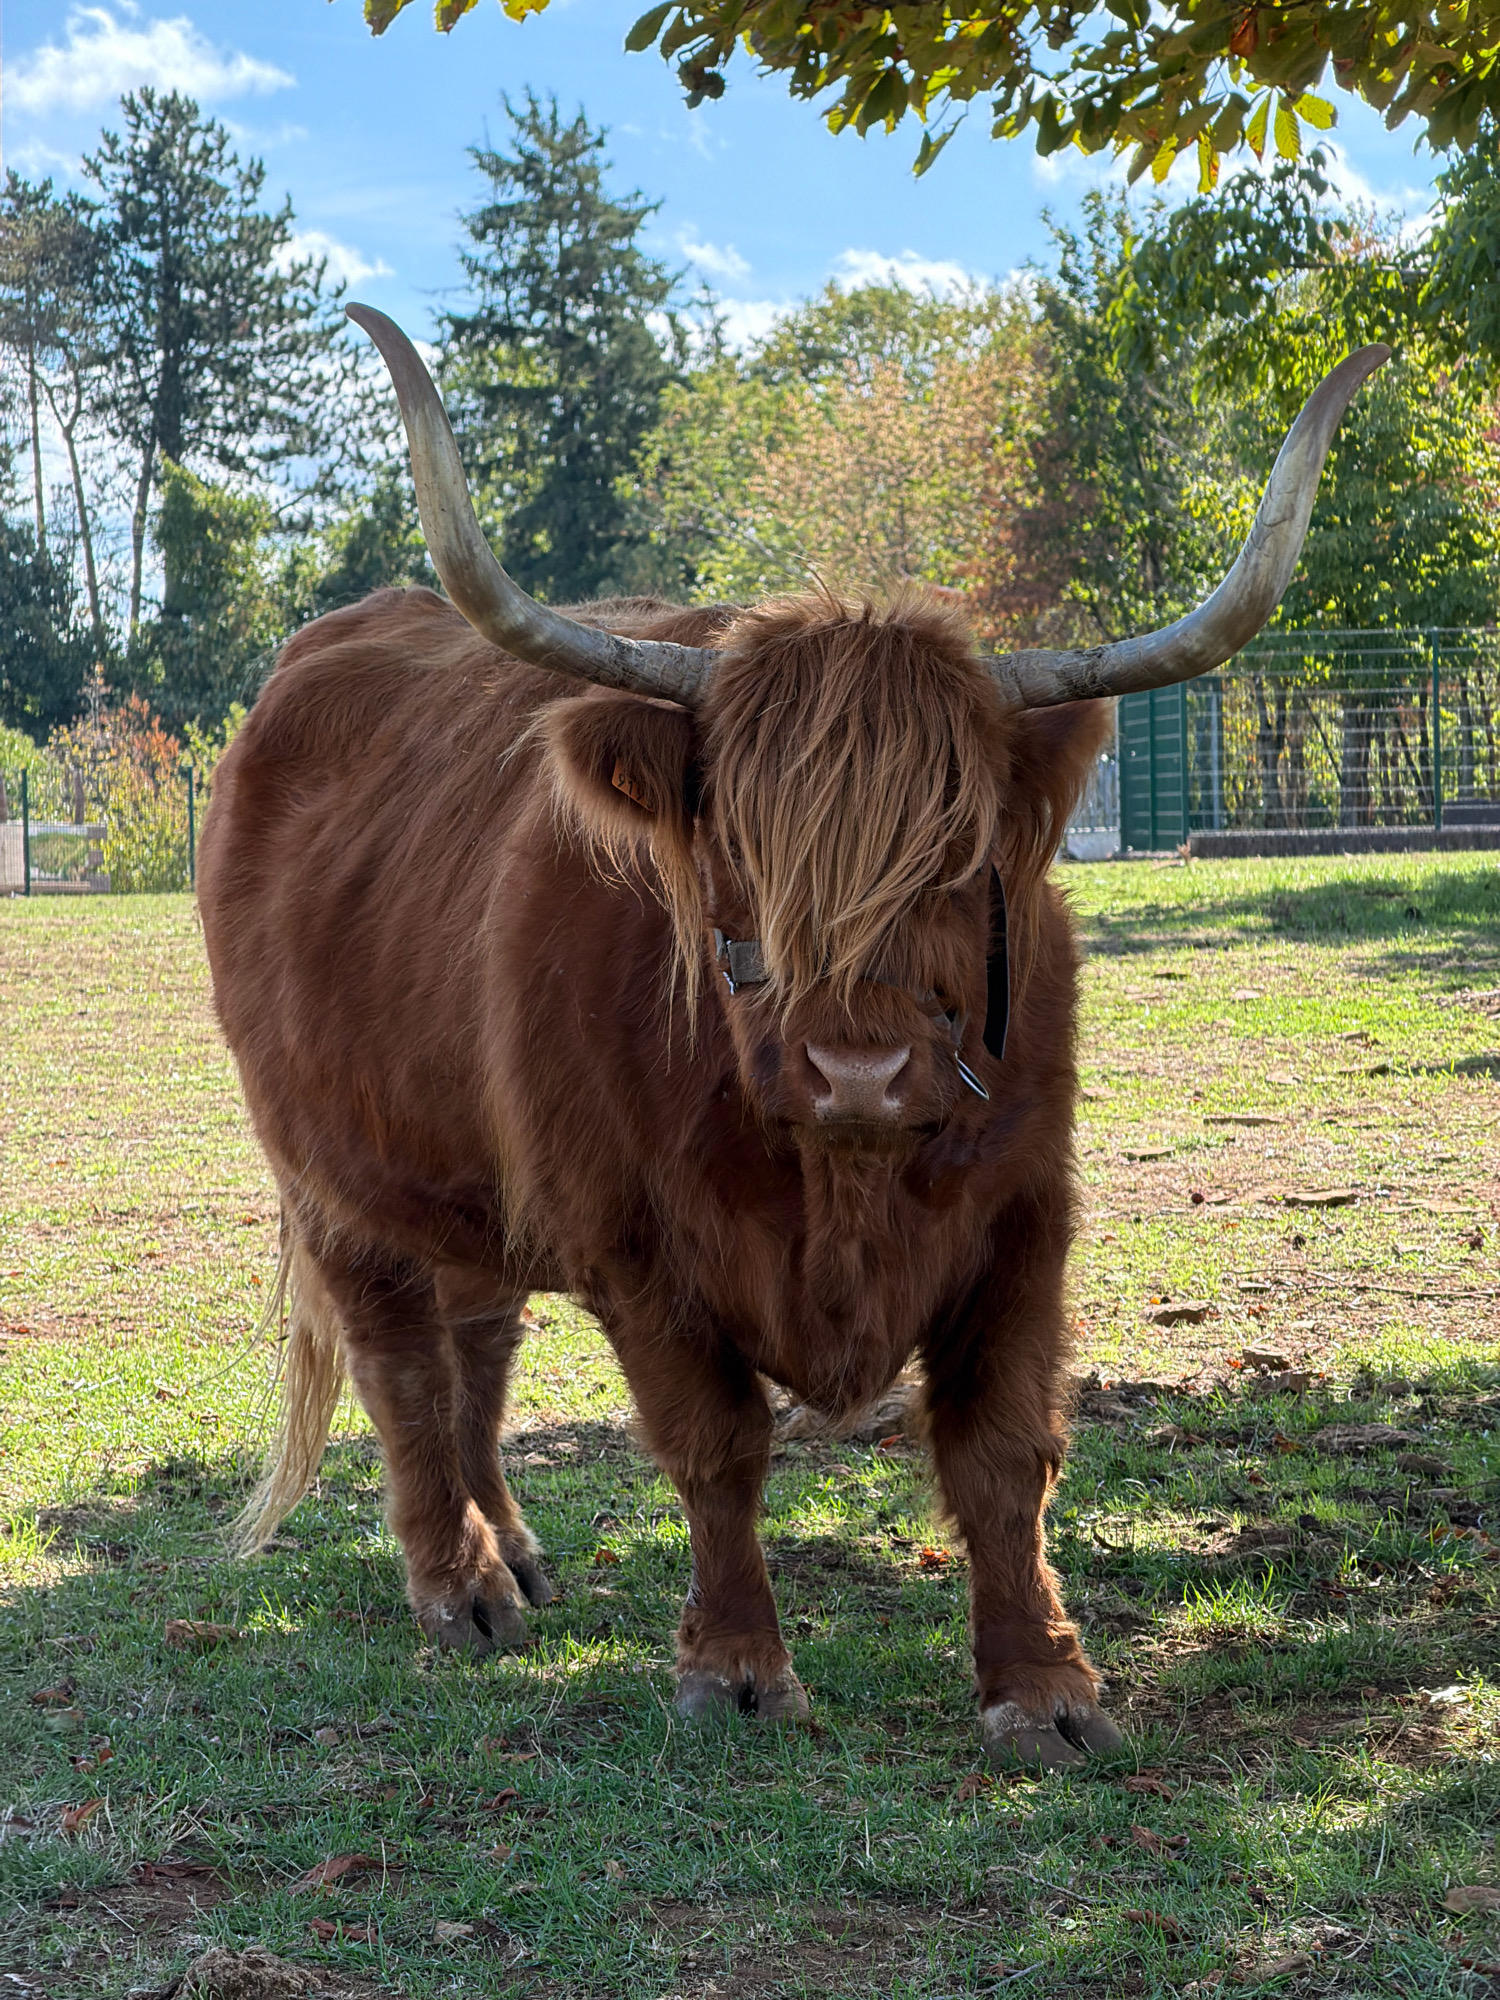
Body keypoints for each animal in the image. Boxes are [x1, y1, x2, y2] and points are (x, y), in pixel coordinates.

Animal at [198, 308, 1385, 1769]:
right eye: (743, 859)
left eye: (960, 860)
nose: (858, 1072)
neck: (840, 1185)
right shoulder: (636, 1243)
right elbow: (716, 1446)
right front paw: (737, 1669)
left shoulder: (1025, 1215)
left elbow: (1005, 1453)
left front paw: (1044, 1684)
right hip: (332, 1171)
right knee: (402, 1363)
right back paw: (460, 1587)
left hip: (475, 1178)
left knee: (477, 1344)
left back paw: (517, 1553)